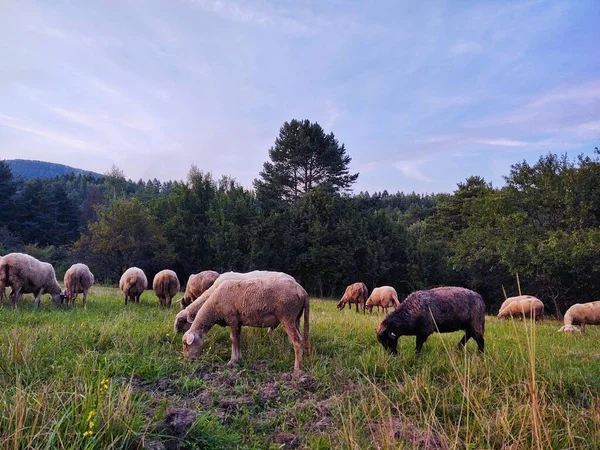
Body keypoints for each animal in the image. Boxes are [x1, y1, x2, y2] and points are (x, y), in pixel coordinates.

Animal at [182, 276, 310, 370]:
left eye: (186, 345)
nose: (188, 361)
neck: (214, 308)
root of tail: (303, 291)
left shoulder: (232, 319)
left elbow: (233, 339)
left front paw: (232, 361)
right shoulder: (238, 322)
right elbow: (238, 339)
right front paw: (238, 358)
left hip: (287, 315)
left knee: (297, 341)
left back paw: (297, 369)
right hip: (296, 318)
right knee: (300, 338)